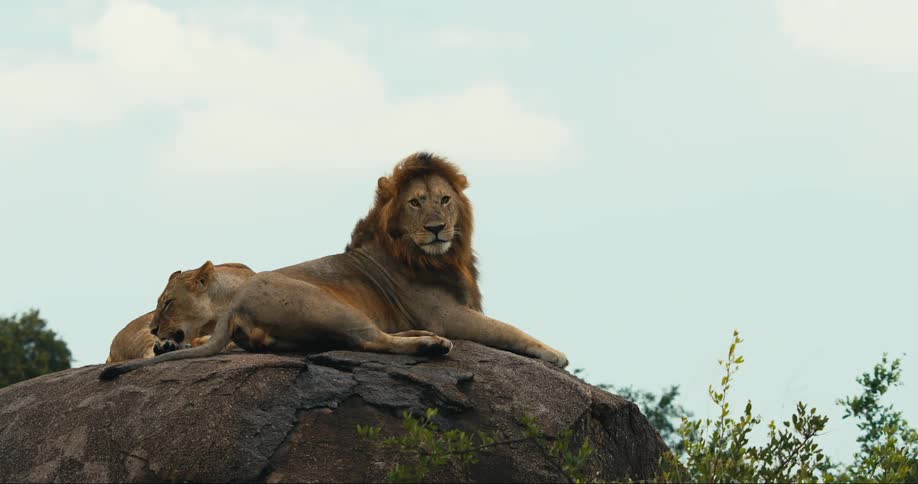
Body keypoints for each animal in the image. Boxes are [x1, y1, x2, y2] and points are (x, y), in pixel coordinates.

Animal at [100, 152, 567, 380]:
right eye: (415, 202)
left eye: (445, 199)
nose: (437, 229)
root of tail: (239, 306)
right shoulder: (447, 313)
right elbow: (507, 329)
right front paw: (554, 354)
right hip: (328, 305)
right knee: (369, 340)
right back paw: (429, 344)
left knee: (364, 336)